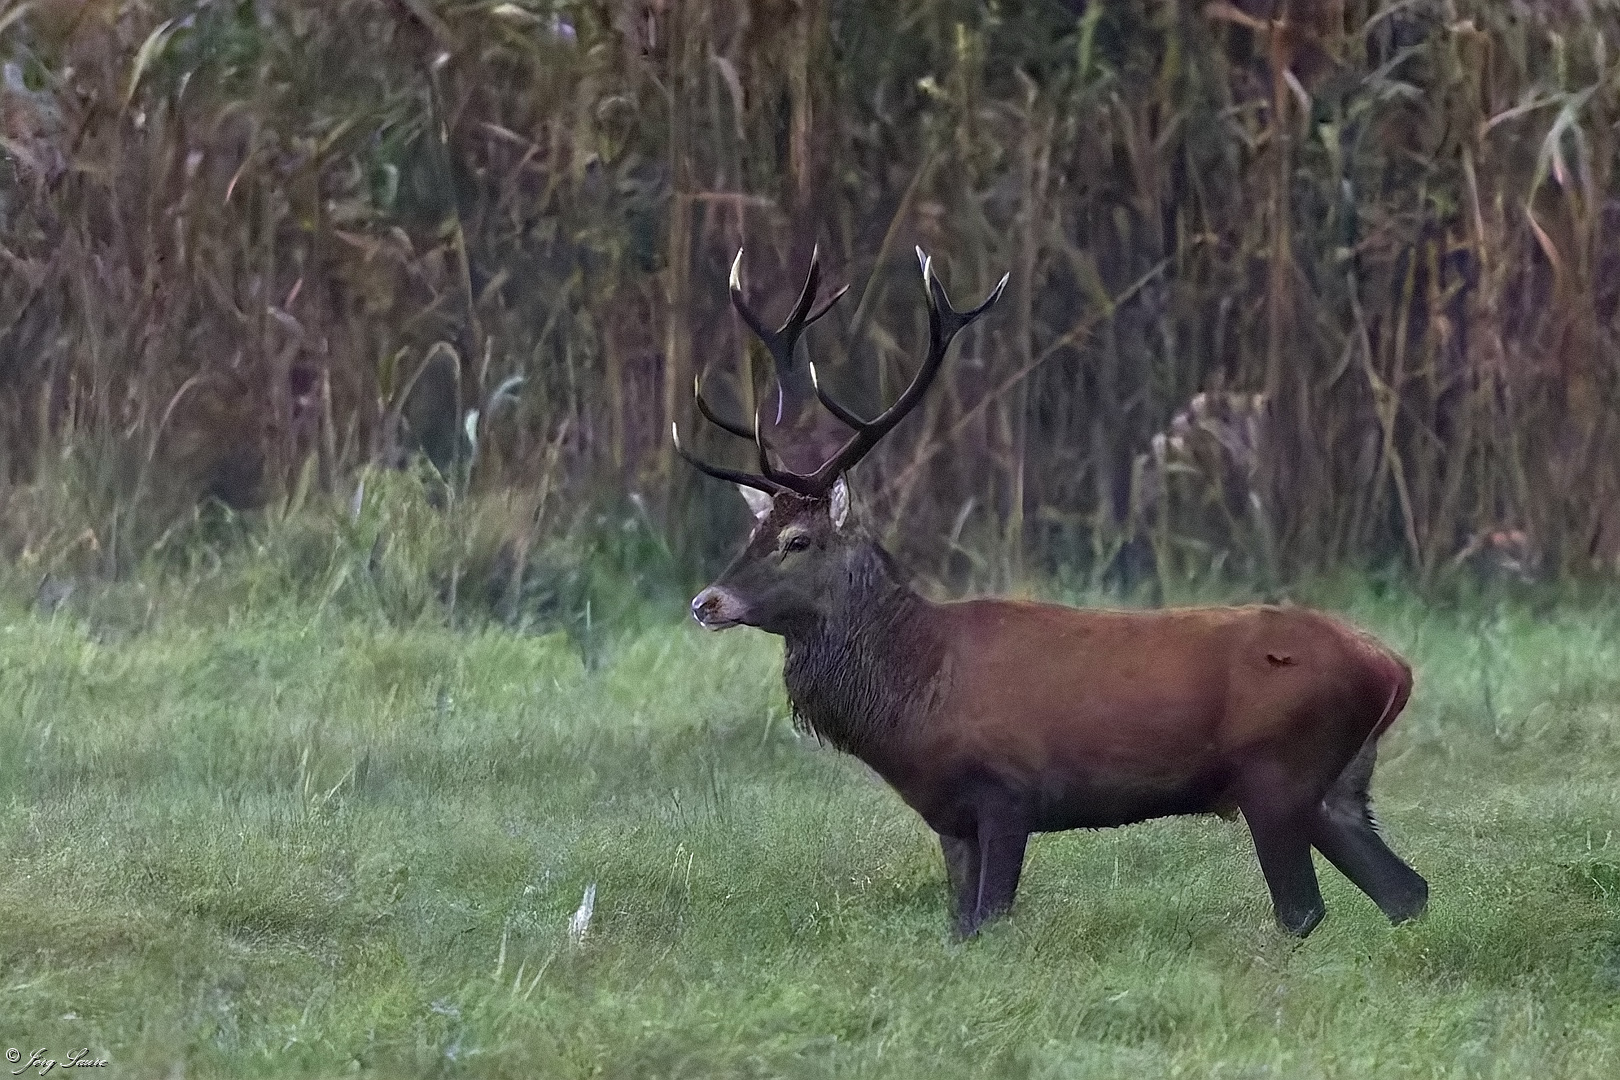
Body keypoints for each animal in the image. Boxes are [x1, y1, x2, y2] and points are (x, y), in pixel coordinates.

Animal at [673, 247, 1429, 940]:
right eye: (754, 529)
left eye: (798, 540)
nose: (707, 602)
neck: (915, 694)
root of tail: (1395, 670)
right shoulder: (951, 816)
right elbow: (960, 927)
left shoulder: (1008, 790)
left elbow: (991, 921)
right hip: (1336, 785)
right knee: (1407, 890)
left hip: (1277, 772)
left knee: (1302, 909)